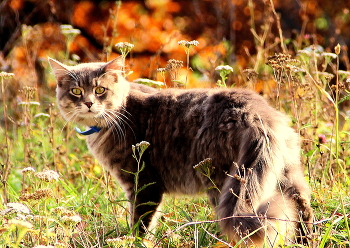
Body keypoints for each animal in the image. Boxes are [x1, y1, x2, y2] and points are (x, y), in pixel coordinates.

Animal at [47, 57, 314, 247]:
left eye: (100, 90)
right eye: (76, 91)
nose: (89, 103)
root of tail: (252, 109)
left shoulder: (143, 182)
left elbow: (141, 222)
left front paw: (135, 241)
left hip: (221, 181)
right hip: (285, 172)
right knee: (301, 206)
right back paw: (305, 241)